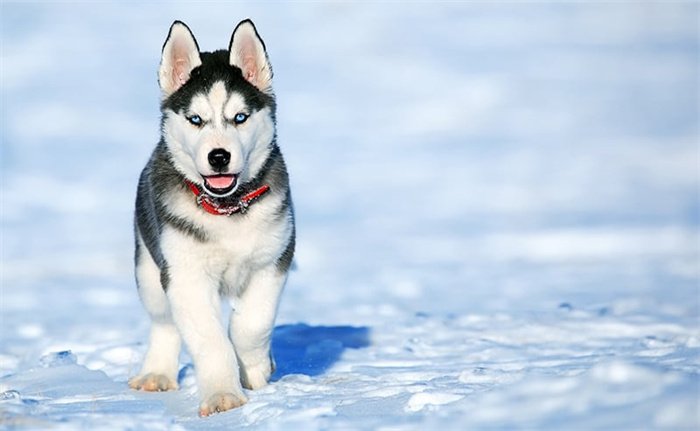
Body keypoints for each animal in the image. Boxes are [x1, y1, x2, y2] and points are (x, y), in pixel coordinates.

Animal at [129, 20, 296, 418]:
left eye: (240, 117)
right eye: (196, 120)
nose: (219, 156)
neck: (227, 209)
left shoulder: (273, 260)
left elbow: (252, 323)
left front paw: (255, 367)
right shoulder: (185, 275)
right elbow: (209, 339)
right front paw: (223, 395)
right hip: (149, 268)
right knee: (164, 323)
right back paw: (156, 373)